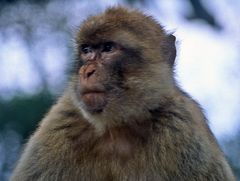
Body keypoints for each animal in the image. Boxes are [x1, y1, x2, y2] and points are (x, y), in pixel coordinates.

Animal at [10, 6, 235, 180]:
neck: (116, 128)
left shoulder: (183, 129)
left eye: (108, 48)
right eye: (86, 50)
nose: (86, 71)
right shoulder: (59, 125)